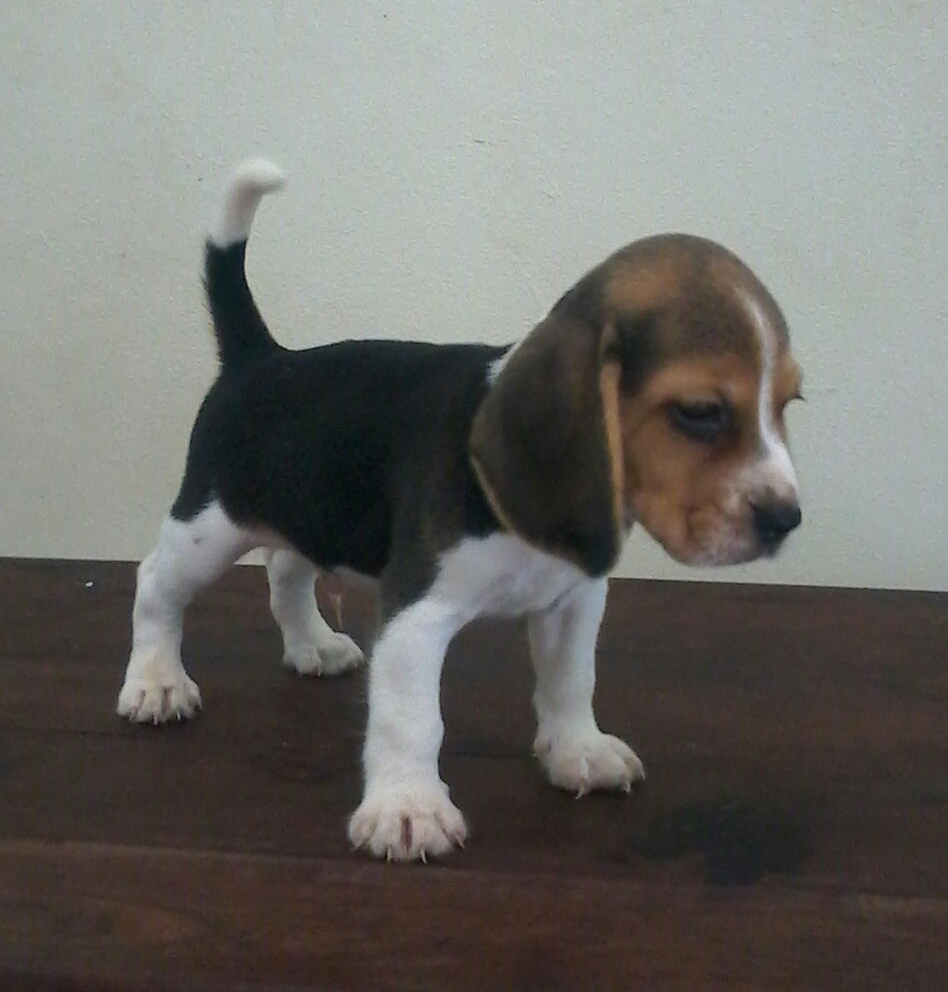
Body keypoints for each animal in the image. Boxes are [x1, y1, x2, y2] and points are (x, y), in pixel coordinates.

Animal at [117, 159, 803, 862]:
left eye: (788, 404)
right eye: (700, 412)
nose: (786, 519)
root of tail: (261, 356)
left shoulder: (573, 601)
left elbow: (571, 679)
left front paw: (578, 751)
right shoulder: (415, 614)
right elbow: (411, 719)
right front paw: (406, 809)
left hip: (308, 510)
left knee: (286, 571)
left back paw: (312, 643)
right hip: (207, 529)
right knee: (156, 585)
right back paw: (156, 681)